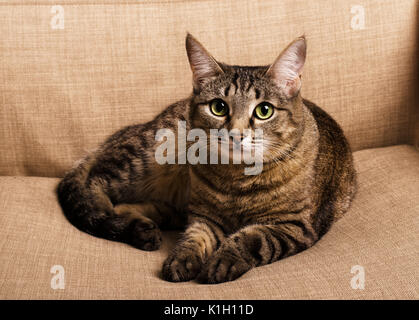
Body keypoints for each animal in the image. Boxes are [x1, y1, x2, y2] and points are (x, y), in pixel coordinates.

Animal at [56, 33, 358, 282]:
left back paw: (139, 223)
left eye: (264, 111)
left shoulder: (294, 226)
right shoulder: (204, 216)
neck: (238, 178)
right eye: (218, 107)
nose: (236, 134)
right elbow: (196, 236)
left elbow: (253, 238)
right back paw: (114, 218)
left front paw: (223, 260)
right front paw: (184, 257)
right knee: (93, 182)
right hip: (146, 155)